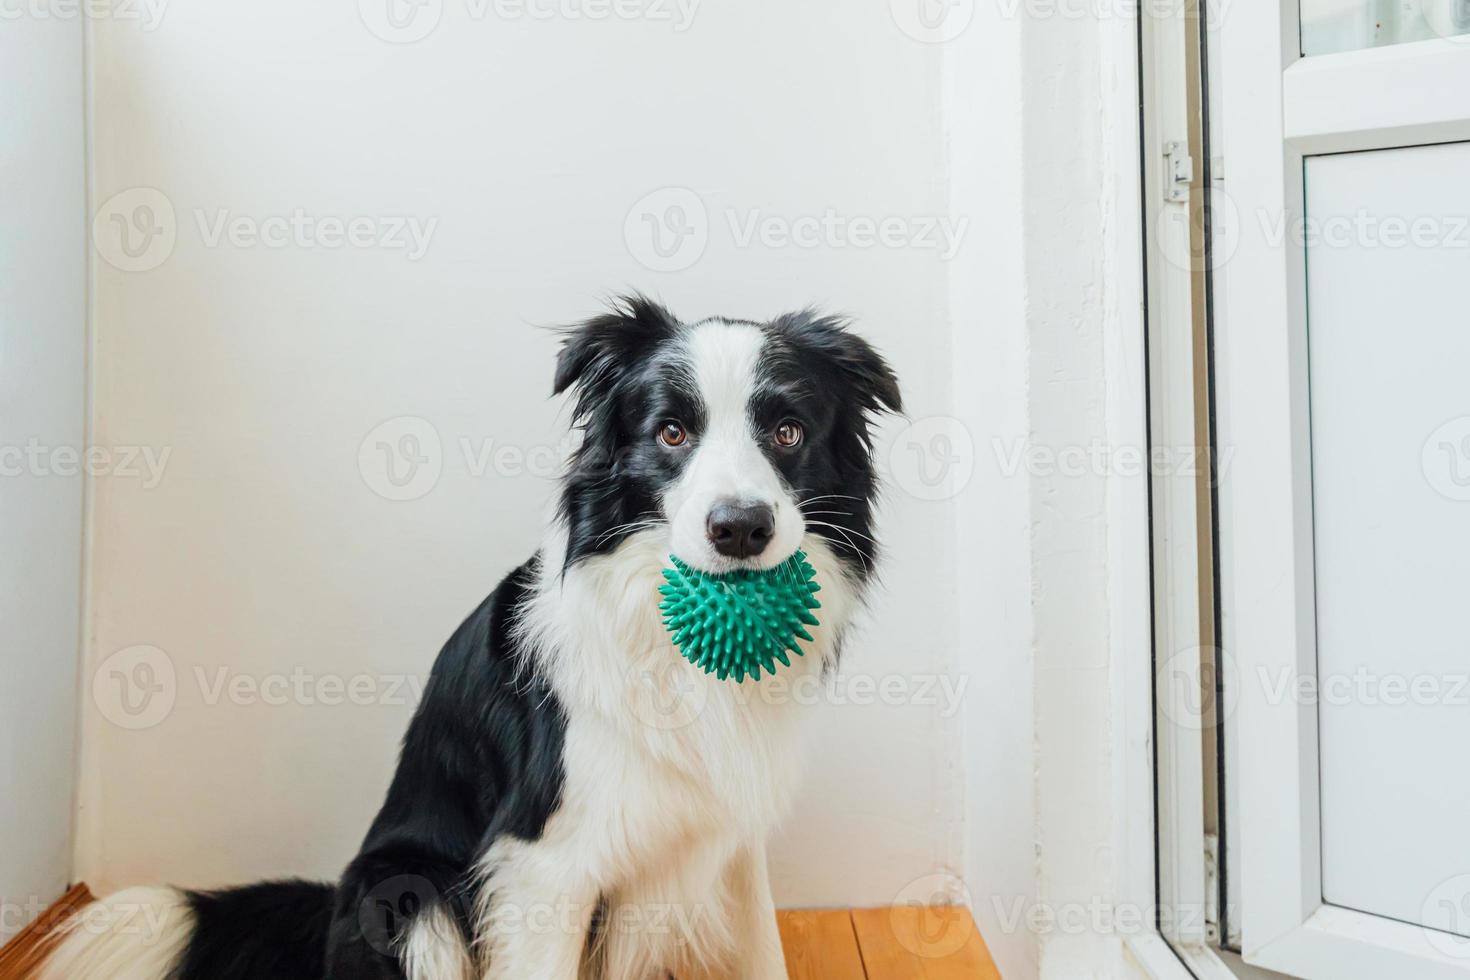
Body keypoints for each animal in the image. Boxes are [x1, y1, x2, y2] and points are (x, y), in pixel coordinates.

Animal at [42, 299, 893, 980]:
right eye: (673, 432)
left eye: (788, 431)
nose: (740, 528)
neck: (665, 644)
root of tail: (333, 903)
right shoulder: (542, 866)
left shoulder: (730, 846)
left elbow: (764, 955)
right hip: (407, 895)